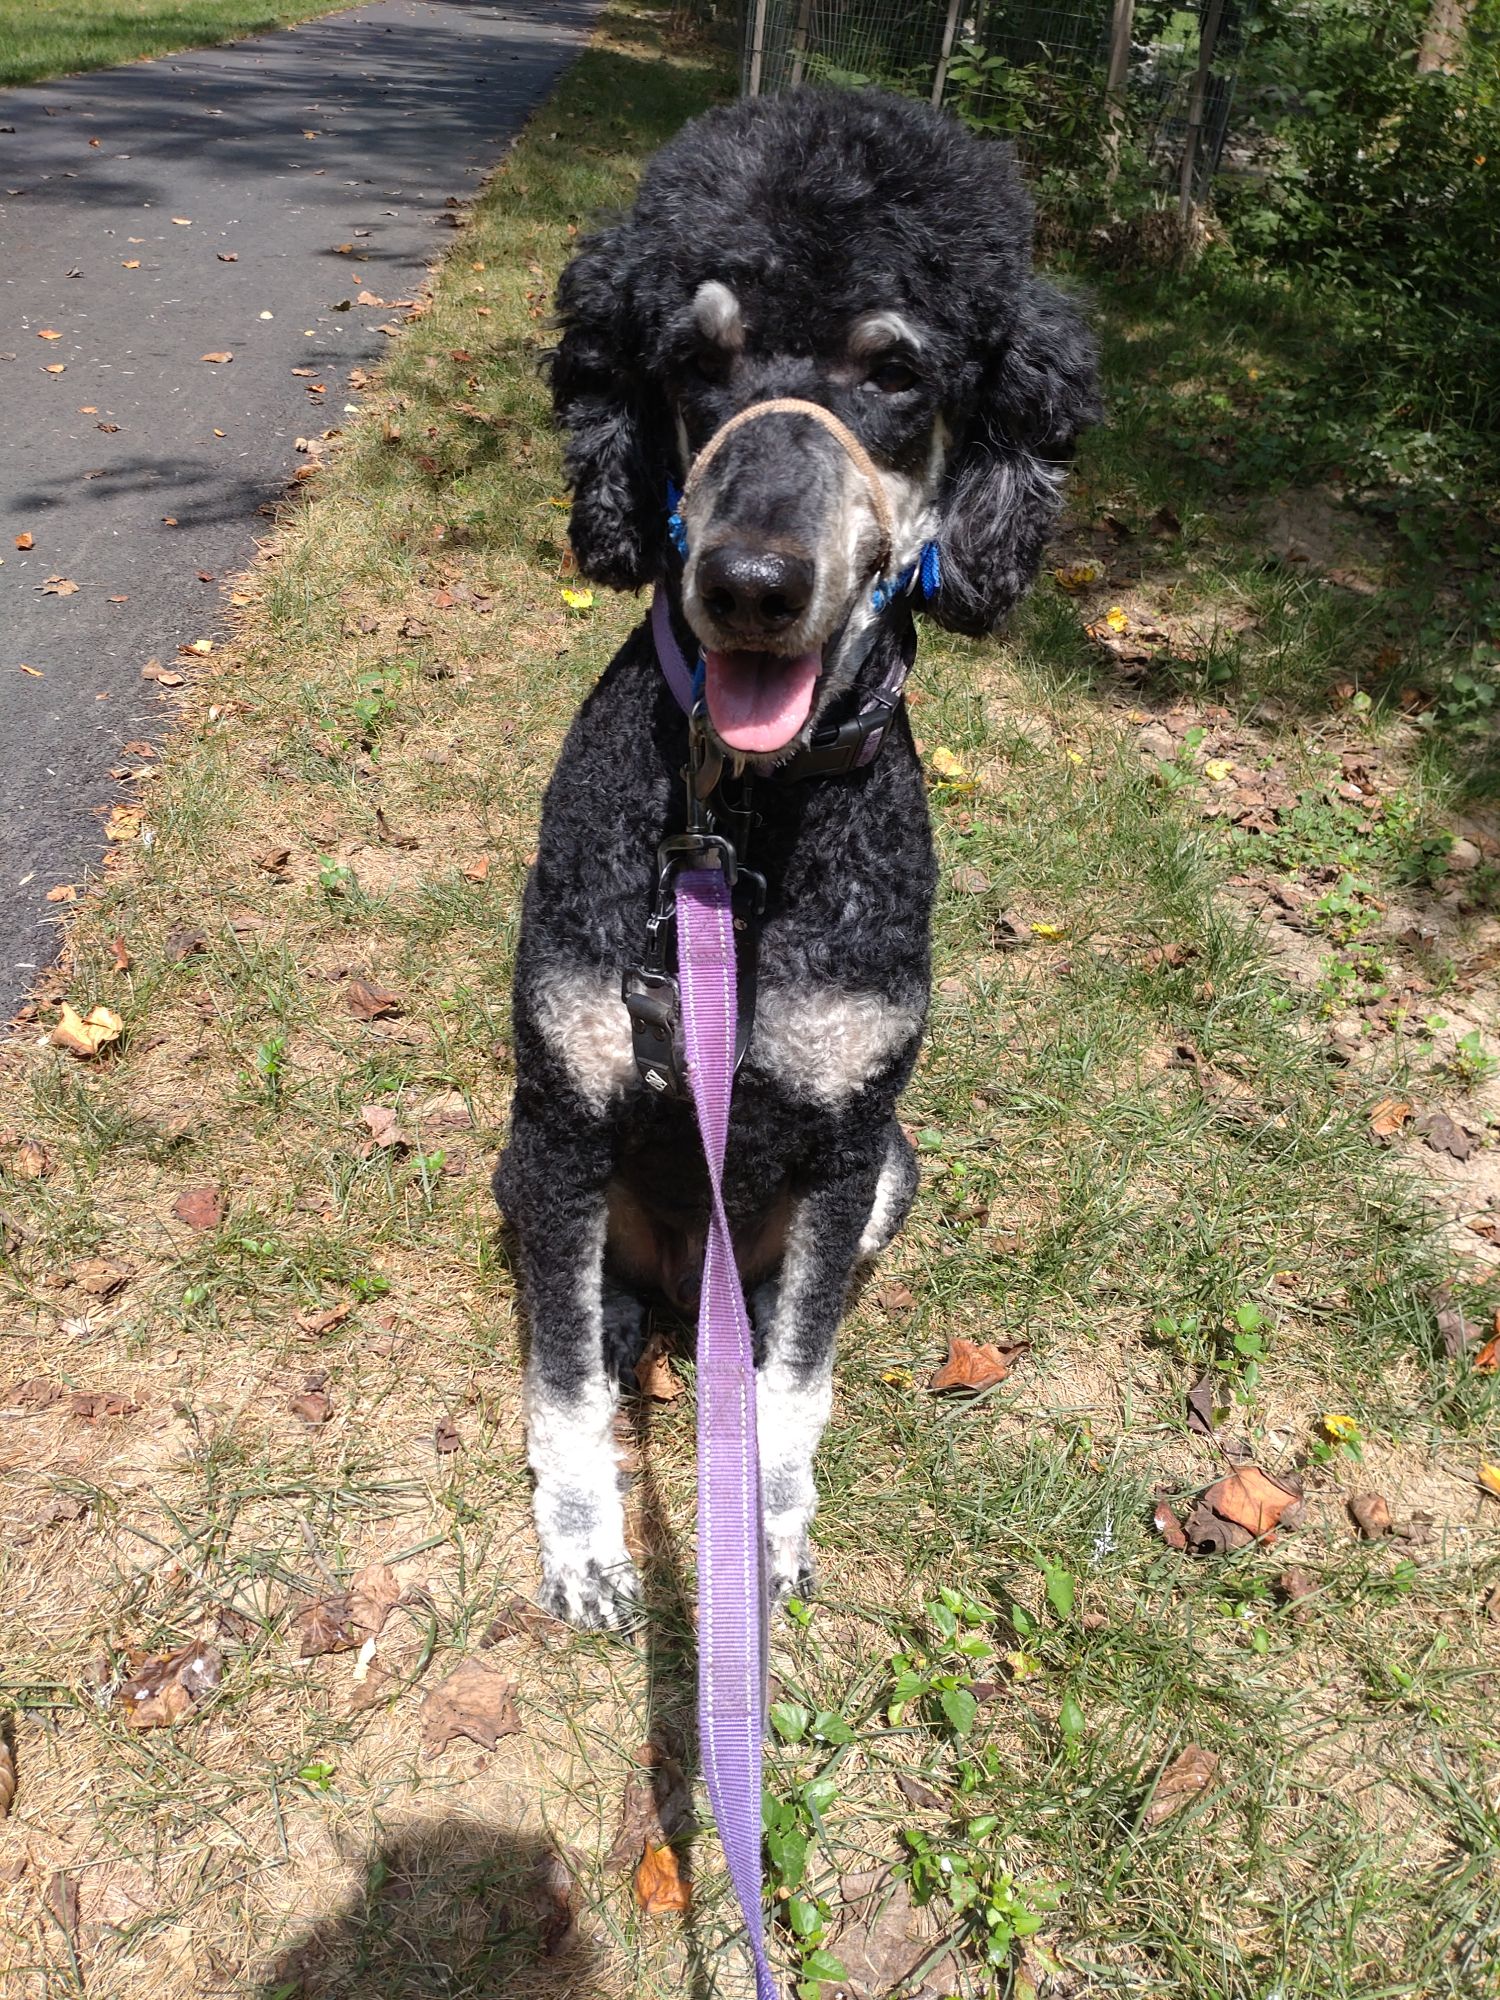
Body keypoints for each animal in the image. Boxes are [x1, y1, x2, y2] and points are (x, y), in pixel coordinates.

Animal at [494, 87, 1098, 1627]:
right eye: (691, 362)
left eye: (894, 370)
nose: (750, 585)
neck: (747, 823)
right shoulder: (567, 1112)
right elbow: (564, 1385)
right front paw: (586, 1545)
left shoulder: (843, 1140)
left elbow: (795, 1383)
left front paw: (763, 1531)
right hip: (524, 1166)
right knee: (594, 1297)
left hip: (894, 1170)